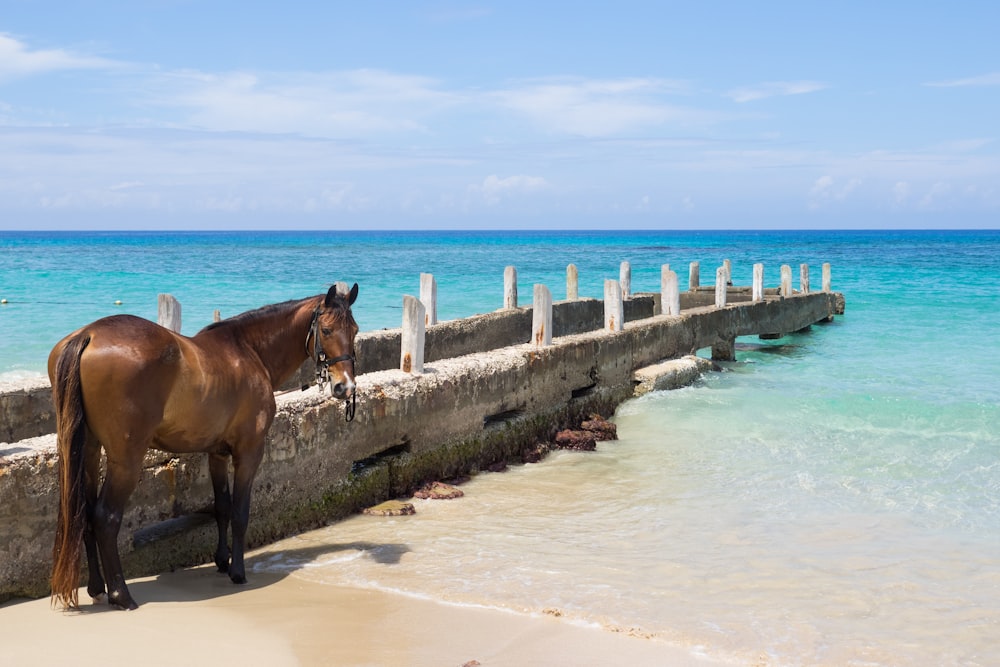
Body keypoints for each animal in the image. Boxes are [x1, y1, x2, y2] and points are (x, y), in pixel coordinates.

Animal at [47, 282, 360, 612]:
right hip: (126, 460)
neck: (249, 351)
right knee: (105, 518)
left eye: (354, 330)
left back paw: (97, 587)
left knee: (85, 515)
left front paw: (222, 560)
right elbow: (240, 512)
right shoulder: (249, 451)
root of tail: (89, 335)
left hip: (89, 451)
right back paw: (121, 594)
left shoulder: (217, 453)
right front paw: (237, 571)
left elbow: (221, 507)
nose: (346, 387)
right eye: (326, 330)